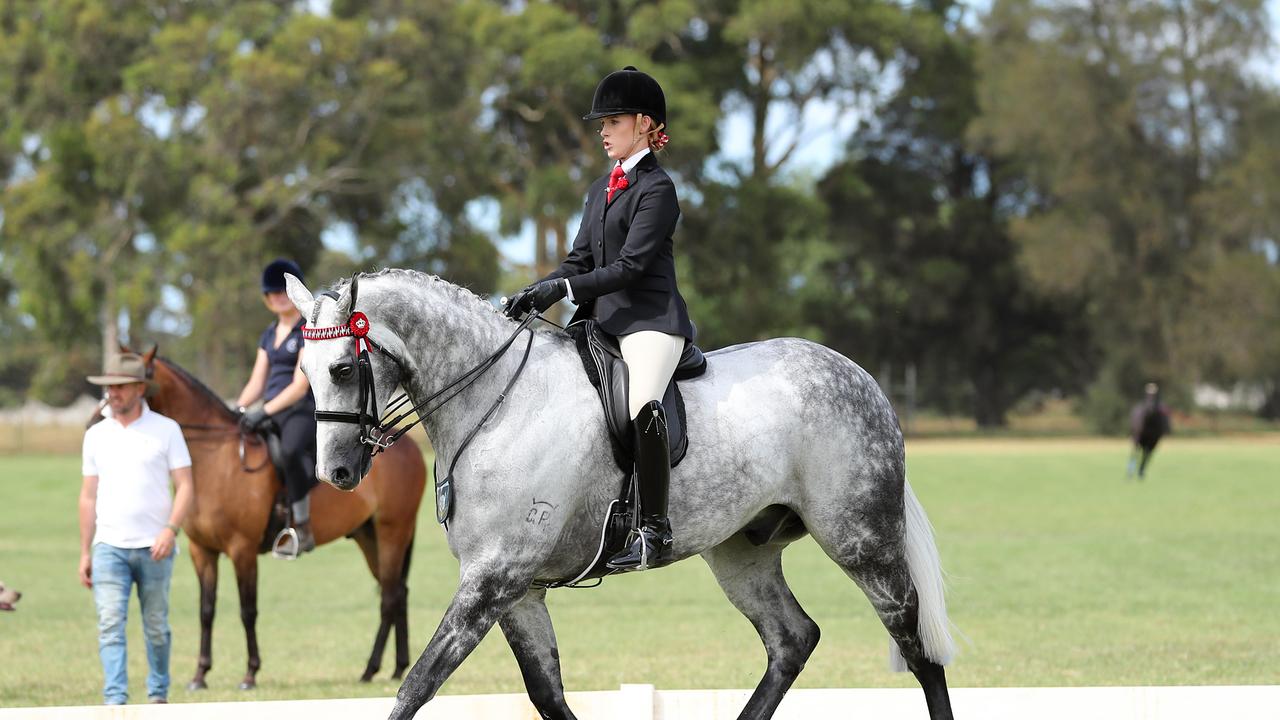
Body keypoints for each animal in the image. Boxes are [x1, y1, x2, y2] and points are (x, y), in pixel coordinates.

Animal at [92, 348, 430, 691]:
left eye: (125, 386)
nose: (97, 420)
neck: (216, 458)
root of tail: (407, 446)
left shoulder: (242, 550)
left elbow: (247, 610)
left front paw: (250, 673)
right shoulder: (202, 551)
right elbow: (206, 611)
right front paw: (200, 674)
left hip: (392, 532)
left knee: (389, 596)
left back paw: (371, 668)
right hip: (368, 536)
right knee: (397, 591)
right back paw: (396, 667)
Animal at [285, 269, 957, 717]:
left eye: (343, 368)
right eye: (304, 370)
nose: (336, 474)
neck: (494, 402)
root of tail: (860, 375)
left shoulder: (493, 579)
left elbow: (416, 686)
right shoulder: (517, 588)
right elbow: (547, 694)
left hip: (861, 540)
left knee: (916, 645)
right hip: (743, 553)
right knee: (793, 640)